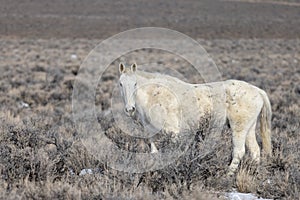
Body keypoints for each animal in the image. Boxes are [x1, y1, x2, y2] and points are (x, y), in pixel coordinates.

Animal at [118, 63, 272, 174]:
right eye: (120, 83)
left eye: (135, 83)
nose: (130, 109)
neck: (155, 95)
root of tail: (258, 91)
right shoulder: (151, 132)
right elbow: (154, 152)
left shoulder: (172, 131)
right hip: (249, 128)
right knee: (255, 151)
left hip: (238, 128)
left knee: (239, 152)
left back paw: (227, 175)